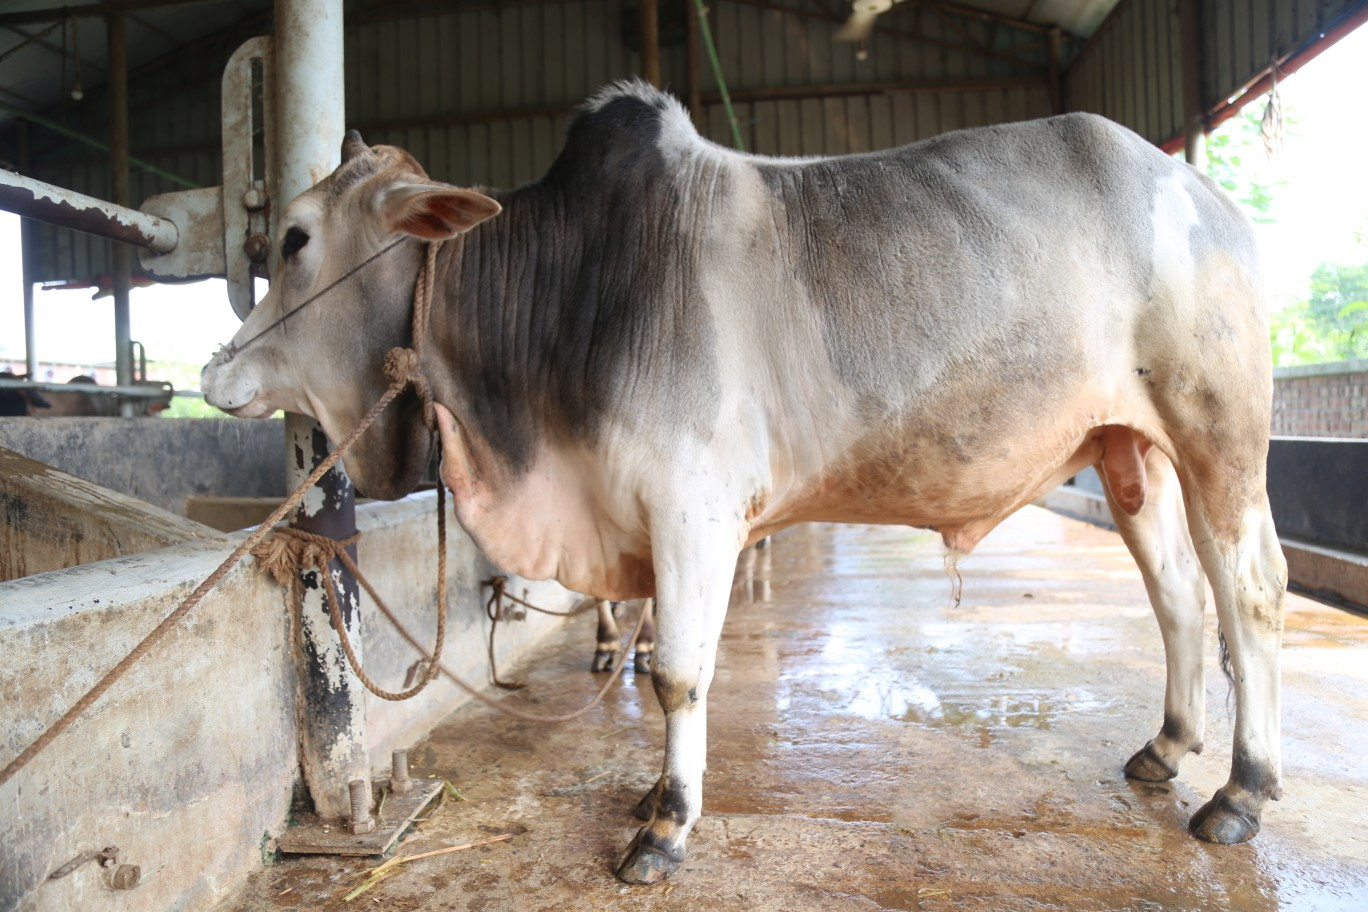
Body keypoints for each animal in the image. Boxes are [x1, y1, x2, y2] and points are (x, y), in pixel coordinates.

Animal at [202, 82, 1286, 884]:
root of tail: (1200, 190)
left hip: (1219, 433)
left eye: (295, 238)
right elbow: (658, 659)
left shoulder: (691, 507)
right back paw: (1167, 749)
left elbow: (678, 671)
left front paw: (665, 830)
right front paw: (653, 795)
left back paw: (1239, 791)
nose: (215, 369)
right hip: (1127, 452)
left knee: (1250, 593)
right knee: (1180, 597)